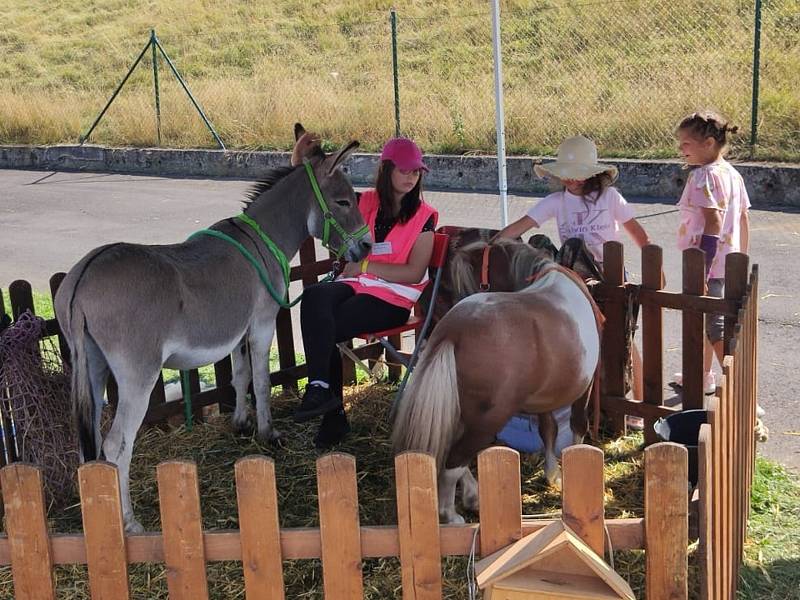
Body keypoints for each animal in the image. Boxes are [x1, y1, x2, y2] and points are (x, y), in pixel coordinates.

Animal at [390, 238, 604, 520]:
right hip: (487, 422)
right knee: (454, 462)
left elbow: (548, 431)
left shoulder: (544, 399)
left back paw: (471, 497)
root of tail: (453, 332)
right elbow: (577, 428)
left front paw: (552, 473)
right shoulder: (584, 389)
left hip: (459, 415)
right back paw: (451, 514)